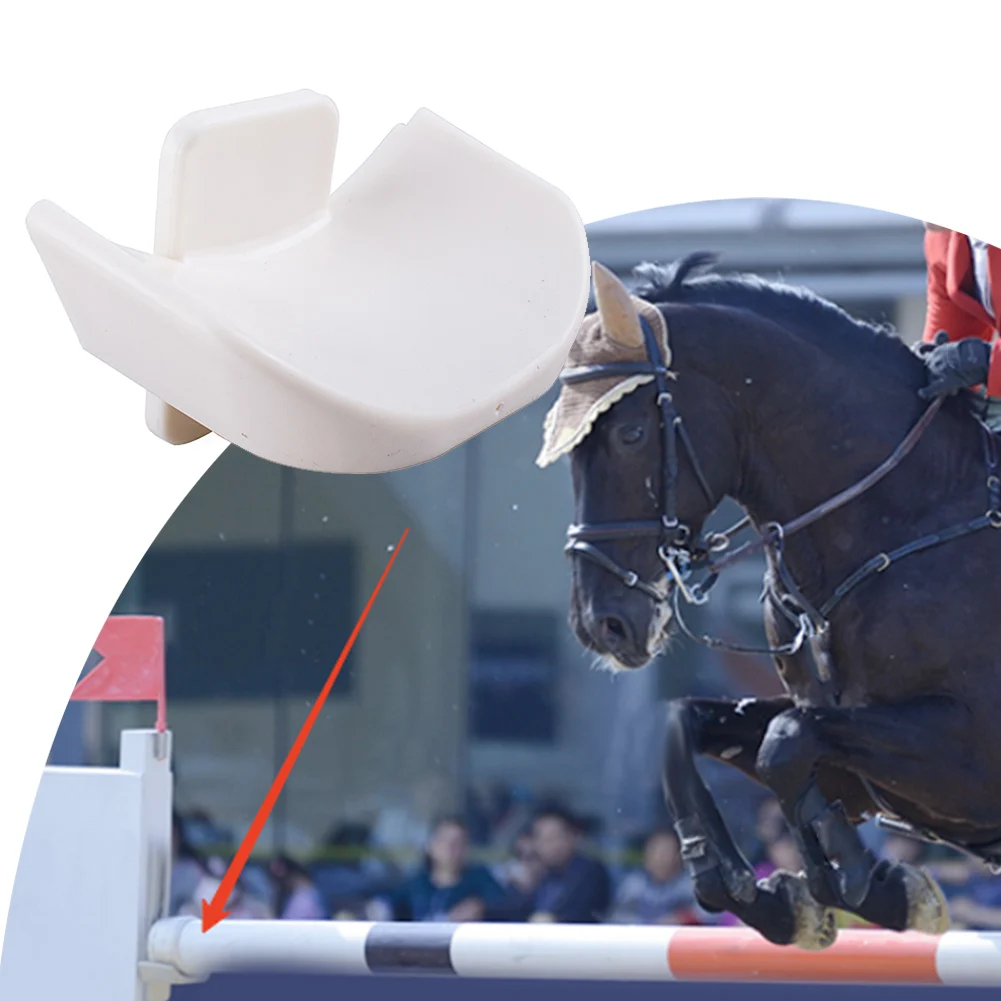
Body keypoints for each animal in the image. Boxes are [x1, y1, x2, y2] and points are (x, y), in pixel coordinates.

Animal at [536, 254, 1001, 949]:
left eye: (632, 433)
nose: (602, 624)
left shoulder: (971, 756)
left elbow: (784, 742)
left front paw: (871, 885)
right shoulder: (852, 756)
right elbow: (697, 727)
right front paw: (775, 897)